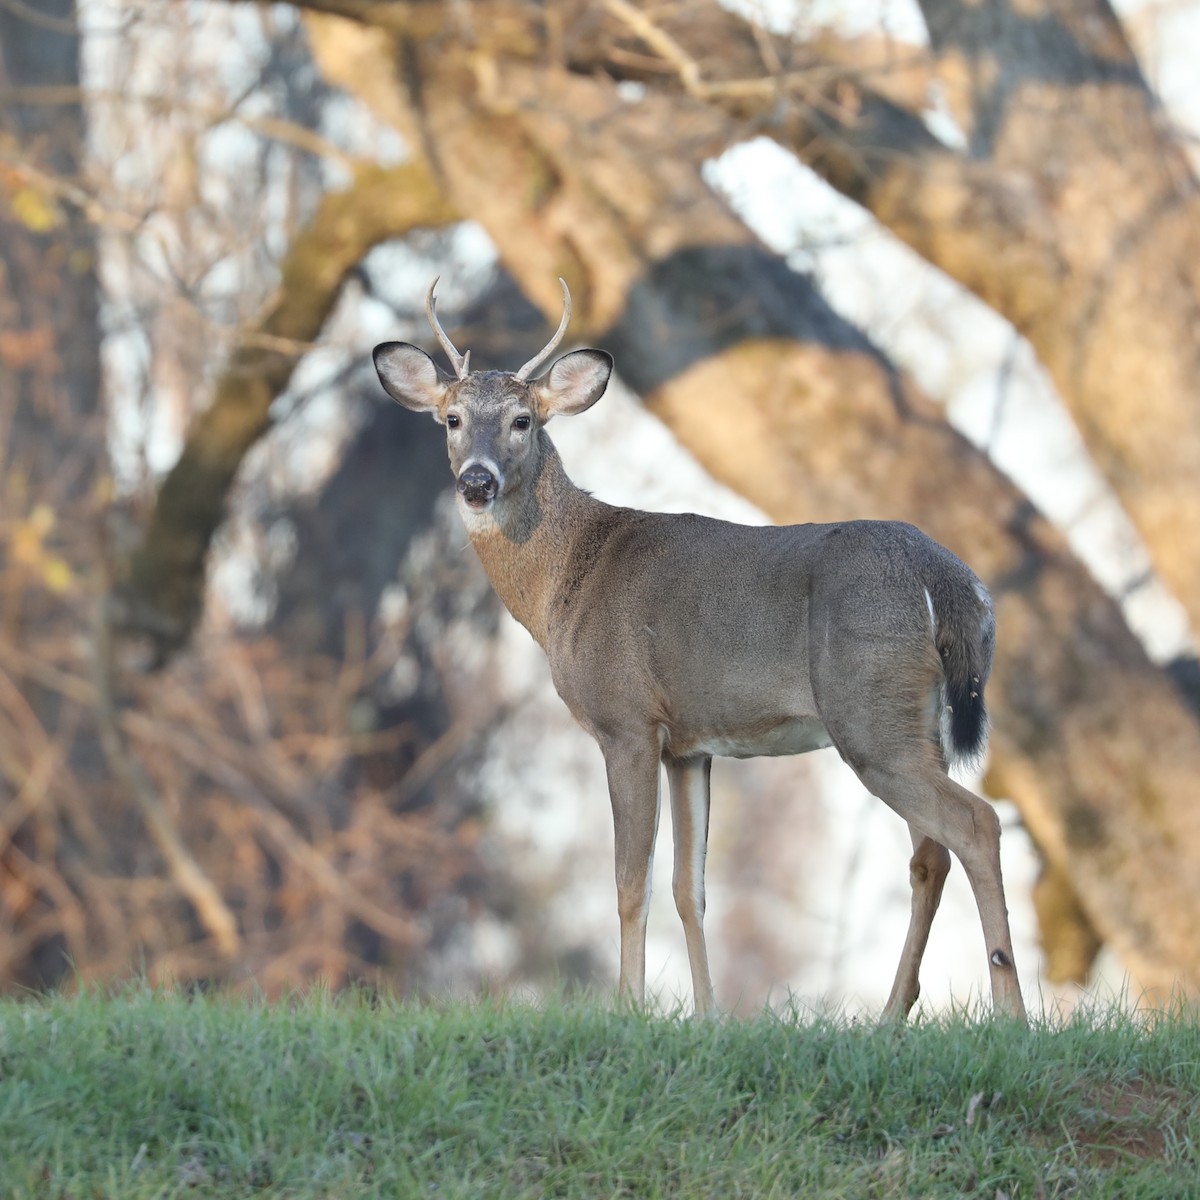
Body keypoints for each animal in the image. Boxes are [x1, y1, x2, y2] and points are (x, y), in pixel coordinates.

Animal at [373, 279, 1027, 1023]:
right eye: (451, 419)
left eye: (523, 421)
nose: (477, 482)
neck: (567, 581)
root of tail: (947, 578)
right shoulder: (689, 743)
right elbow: (691, 888)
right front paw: (709, 1016)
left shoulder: (627, 720)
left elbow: (631, 880)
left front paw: (628, 1010)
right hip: (917, 721)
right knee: (930, 855)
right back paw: (892, 1017)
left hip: (868, 710)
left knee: (974, 822)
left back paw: (1011, 1012)